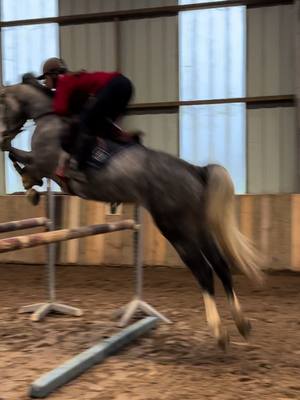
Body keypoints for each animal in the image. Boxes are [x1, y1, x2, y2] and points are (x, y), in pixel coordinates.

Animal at [0, 75, 260, 350]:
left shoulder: (43, 162)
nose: (3, 131)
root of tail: (194, 170)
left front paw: (29, 187)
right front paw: (30, 187)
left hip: (175, 227)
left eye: (2, 104)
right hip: (198, 226)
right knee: (221, 265)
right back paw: (241, 324)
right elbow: (15, 156)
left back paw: (219, 332)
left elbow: (19, 158)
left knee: (203, 270)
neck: (47, 116)